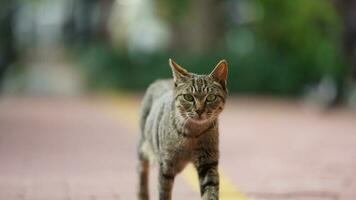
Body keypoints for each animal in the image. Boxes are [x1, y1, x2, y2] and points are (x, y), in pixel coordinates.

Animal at [136, 58, 228, 199]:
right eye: (188, 97)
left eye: (211, 97)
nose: (199, 110)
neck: (192, 134)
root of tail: (161, 80)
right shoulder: (166, 165)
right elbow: (164, 193)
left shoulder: (208, 162)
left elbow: (210, 191)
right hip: (145, 145)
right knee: (141, 168)